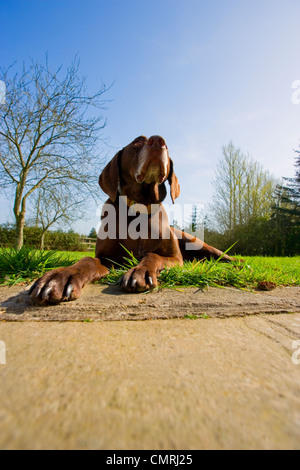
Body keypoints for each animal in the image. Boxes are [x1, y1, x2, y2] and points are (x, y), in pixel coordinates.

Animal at [29, 135, 232, 304]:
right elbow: (87, 260)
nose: (159, 141)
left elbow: (152, 255)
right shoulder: (106, 258)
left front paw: (141, 271)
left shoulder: (175, 258)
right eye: (137, 142)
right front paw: (61, 277)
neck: (139, 210)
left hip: (197, 243)